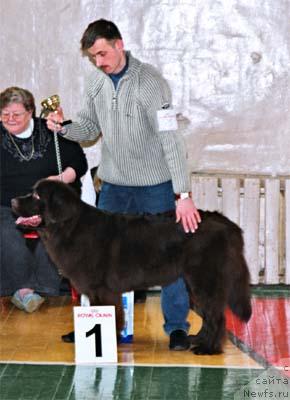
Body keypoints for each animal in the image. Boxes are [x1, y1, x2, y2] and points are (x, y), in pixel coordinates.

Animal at [11, 180, 251, 354]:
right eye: (31, 192)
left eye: (37, 196)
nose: (12, 201)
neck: (69, 226)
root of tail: (227, 224)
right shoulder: (93, 289)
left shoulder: (103, 290)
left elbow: (111, 314)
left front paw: (107, 340)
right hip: (193, 285)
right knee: (209, 315)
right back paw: (198, 339)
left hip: (203, 281)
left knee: (217, 316)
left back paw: (208, 348)